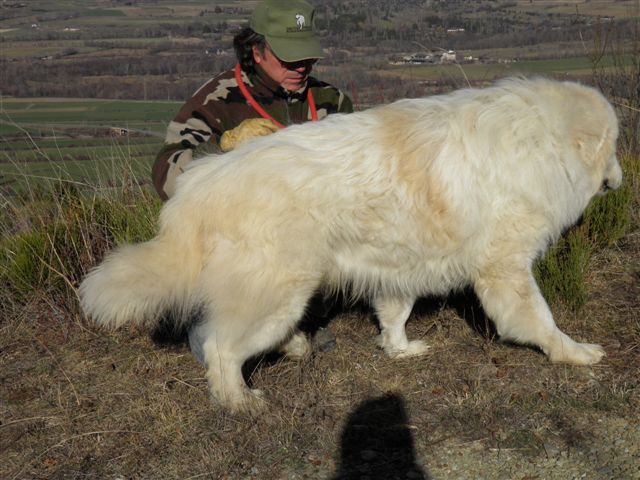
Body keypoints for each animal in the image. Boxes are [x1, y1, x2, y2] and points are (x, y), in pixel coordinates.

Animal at [80, 78, 620, 412]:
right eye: (614, 147)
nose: (618, 179)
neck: (539, 140)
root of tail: (196, 190)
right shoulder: (505, 269)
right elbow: (540, 319)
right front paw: (574, 353)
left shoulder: (400, 263)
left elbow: (395, 314)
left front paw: (399, 350)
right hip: (275, 294)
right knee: (219, 347)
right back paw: (239, 402)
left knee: (213, 333)